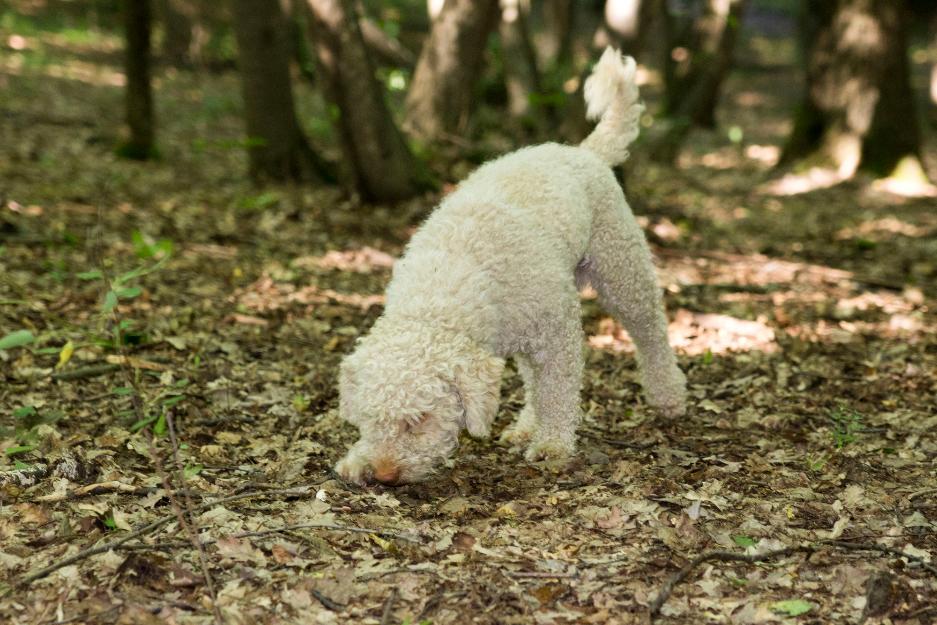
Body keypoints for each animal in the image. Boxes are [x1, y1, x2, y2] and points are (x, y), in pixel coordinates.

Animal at [332, 50, 684, 488]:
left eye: (419, 420)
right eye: (369, 420)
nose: (384, 474)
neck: (445, 286)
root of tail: (584, 151)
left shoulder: (558, 333)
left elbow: (558, 391)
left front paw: (552, 444)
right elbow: (541, 386)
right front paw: (357, 458)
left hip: (621, 269)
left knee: (650, 329)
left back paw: (667, 394)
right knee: (534, 379)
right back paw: (525, 426)